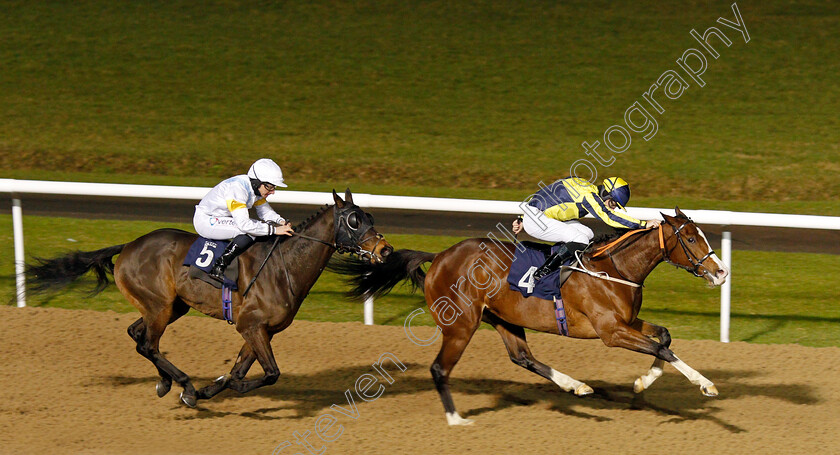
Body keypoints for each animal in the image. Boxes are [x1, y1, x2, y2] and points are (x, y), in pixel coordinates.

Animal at [25, 191, 394, 408]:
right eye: (354, 220)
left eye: (371, 217)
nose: (386, 249)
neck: (283, 266)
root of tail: (129, 245)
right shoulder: (251, 326)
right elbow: (267, 374)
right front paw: (208, 388)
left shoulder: (261, 330)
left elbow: (242, 370)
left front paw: (211, 388)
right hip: (160, 305)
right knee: (148, 344)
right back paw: (184, 384)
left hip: (172, 306)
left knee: (138, 335)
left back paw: (167, 382)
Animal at [334, 208, 728, 426]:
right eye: (690, 238)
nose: (721, 272)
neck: (614, 268)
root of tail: (440, 256)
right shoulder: (611, 331)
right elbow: (662, 348)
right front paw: (705, 384)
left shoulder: (627, 323)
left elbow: (664, 336)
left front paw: (642, 384)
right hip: (461, 324)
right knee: (439, 368)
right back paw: (456, 419)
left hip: (503, 318)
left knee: (522, 357)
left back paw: (576, 385)